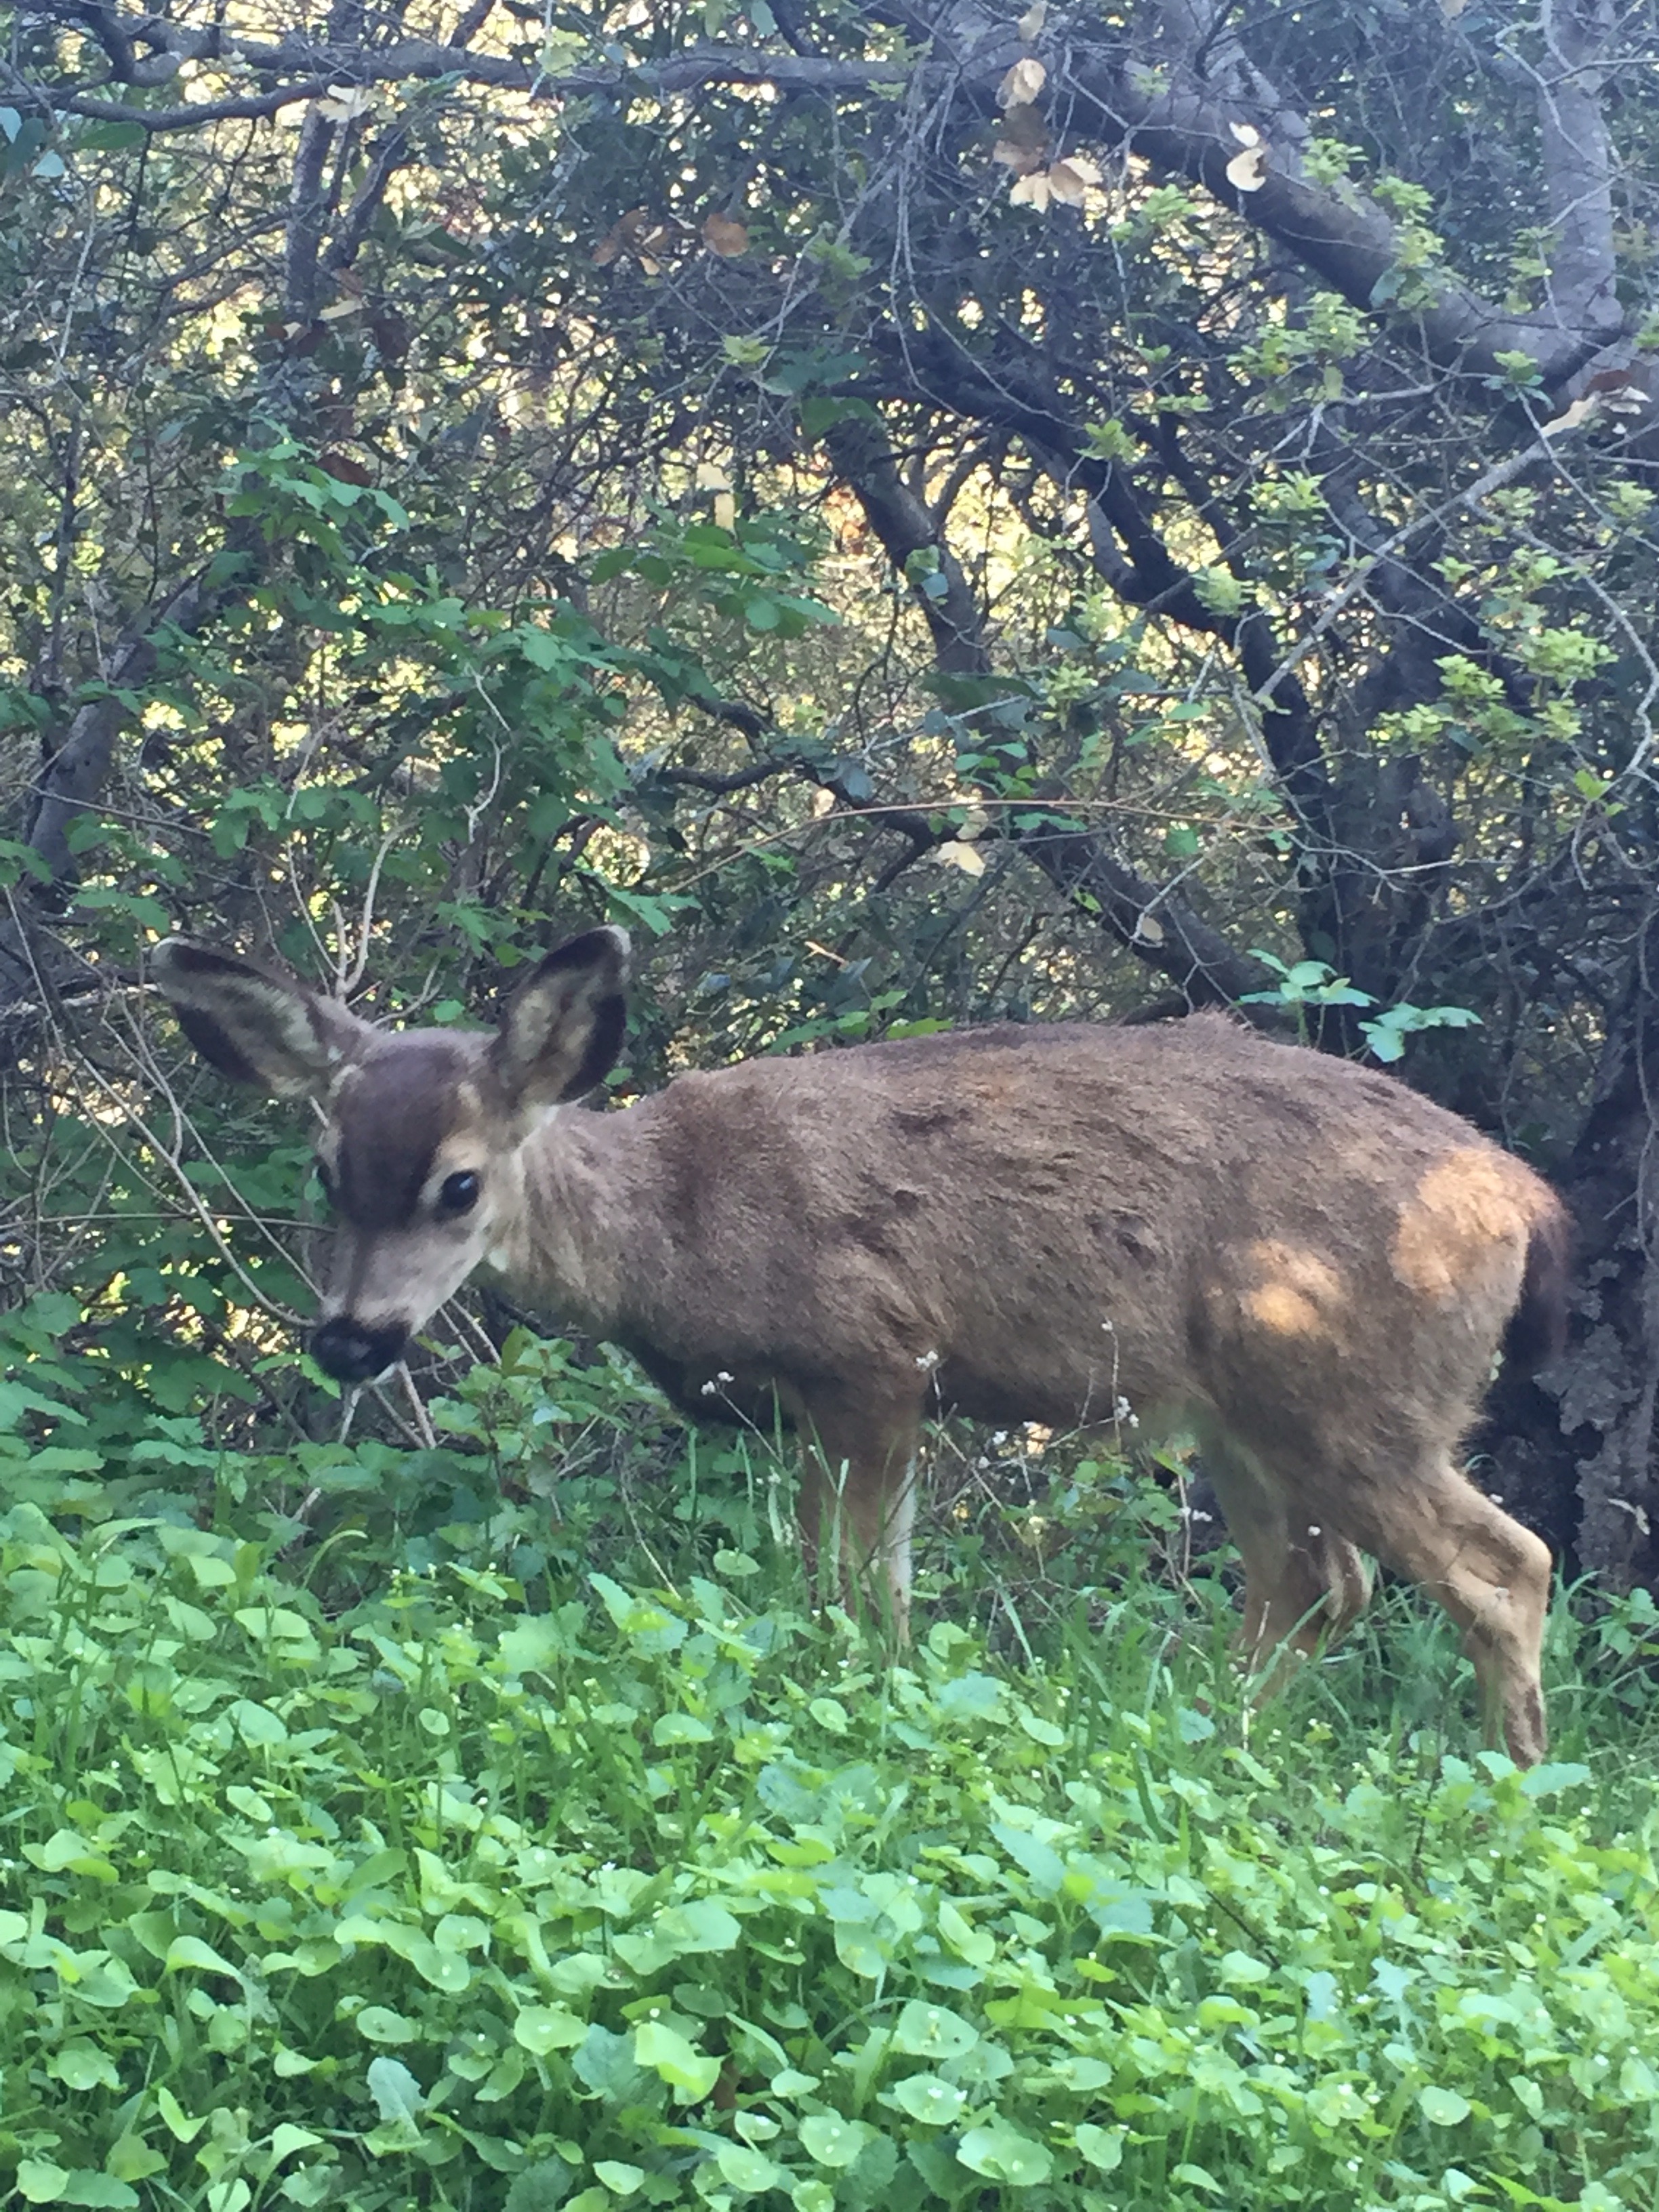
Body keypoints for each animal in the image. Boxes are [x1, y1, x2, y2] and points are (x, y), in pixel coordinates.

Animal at [151, 924, 1573, 1766]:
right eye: (326, 1166)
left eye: (456, 1183)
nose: (352, 1339)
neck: (678, 1224)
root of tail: (1520, 1199)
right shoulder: (817, 1404)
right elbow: (835, 1579)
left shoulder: (876, 1357)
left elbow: (858, 1592)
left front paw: (867, 1705)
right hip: (1243, 1416)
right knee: (1316, 1582)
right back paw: (1210, 1737)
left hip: (1353, 1394)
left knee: (1505, 1563)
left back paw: (1505, 1788)